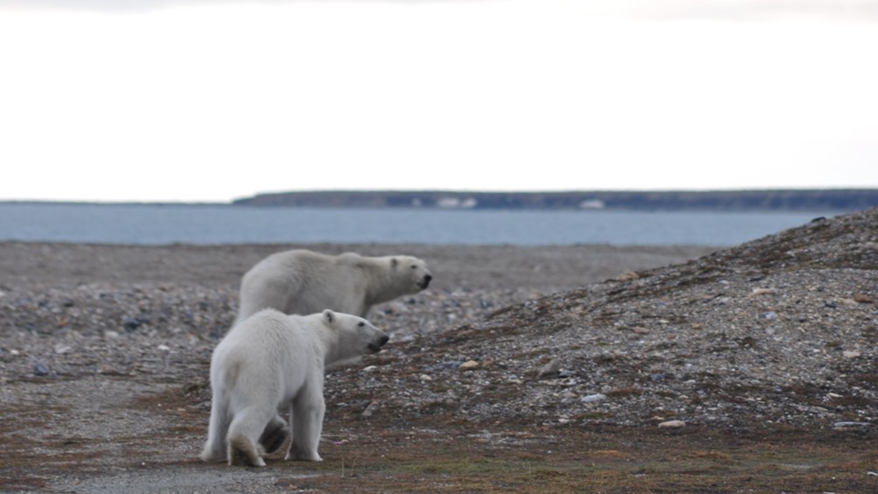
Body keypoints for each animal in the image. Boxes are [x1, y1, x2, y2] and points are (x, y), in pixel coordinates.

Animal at [205, 308, 390, 466]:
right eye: (361, 323)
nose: (384, 337)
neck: (317, 333)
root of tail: (232, 360)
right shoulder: (311, 359)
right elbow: (310, 403)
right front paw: (308, 455)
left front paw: (275, 434)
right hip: (262, 371)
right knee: (259, 405)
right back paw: (249, 455)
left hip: (219, 381)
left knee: (220, 415)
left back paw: (216, 453)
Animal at [234, 251, 434, 324]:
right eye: (413, 266)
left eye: (425, 265)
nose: (428, 277)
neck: (367, 275)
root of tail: (249, 275)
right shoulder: (352, 288)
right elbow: (347, 312)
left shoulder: (365, 300)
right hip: (275, 288)